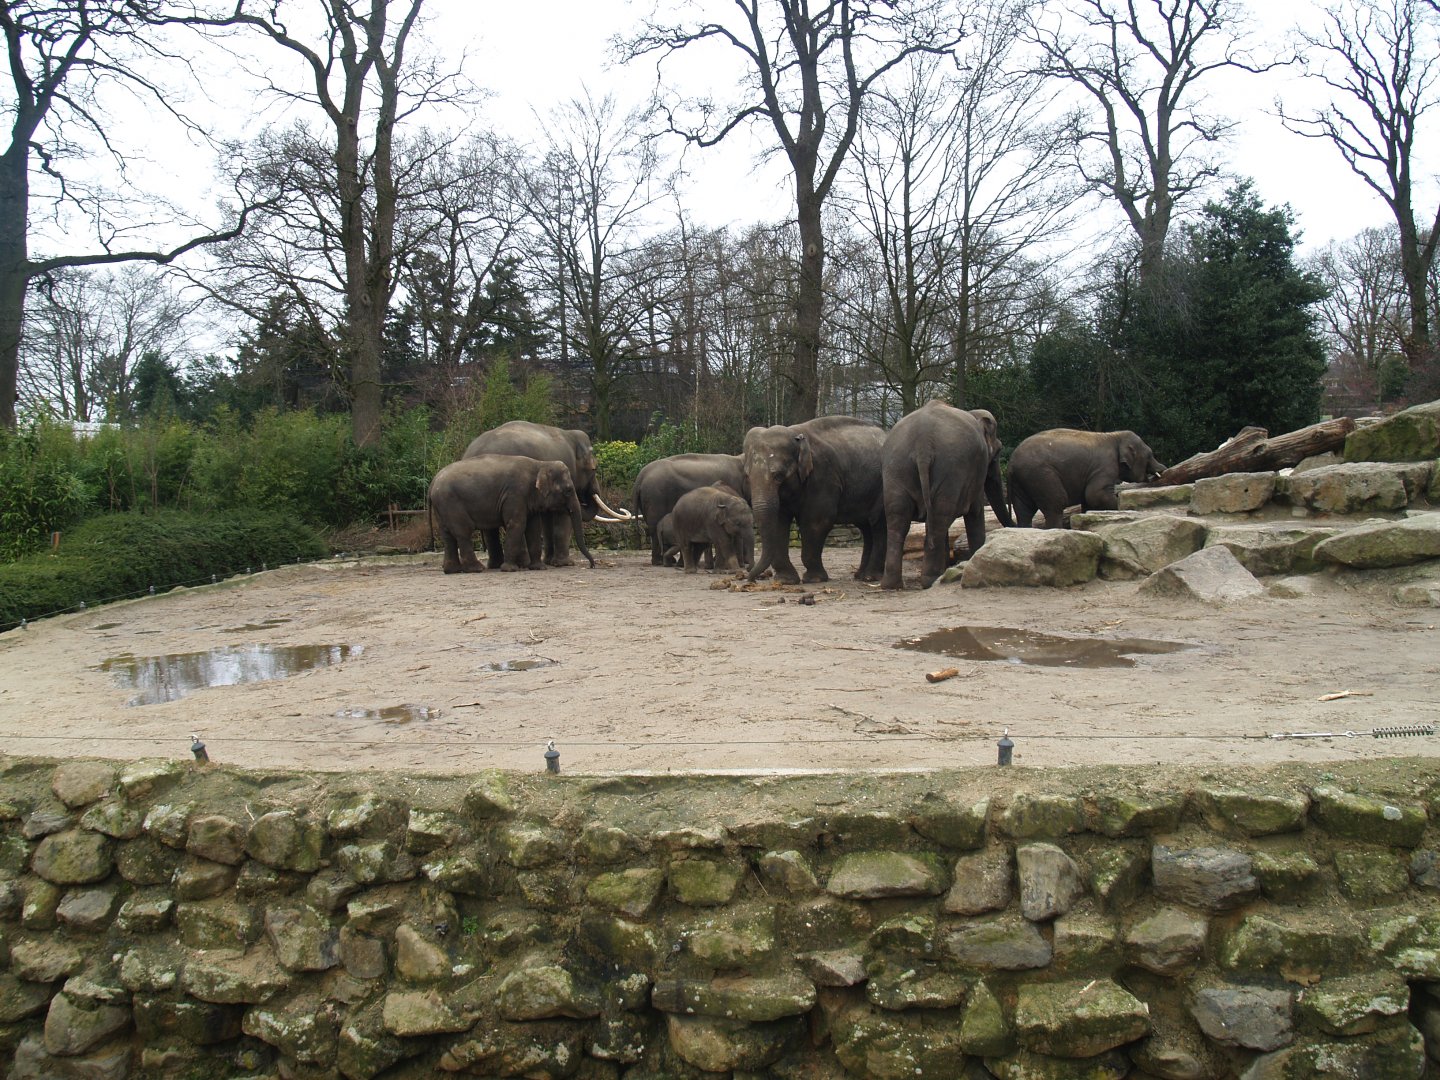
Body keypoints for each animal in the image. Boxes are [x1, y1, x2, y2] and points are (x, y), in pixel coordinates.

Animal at [429, 454, 595, 574]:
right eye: (568, 490)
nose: (592, 565)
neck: (540, 463)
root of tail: (433, 482)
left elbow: (534, 528)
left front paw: (539, 568)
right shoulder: (515, 494)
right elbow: (517, 524)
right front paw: (509, 569)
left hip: (442, 507)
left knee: (447, 536)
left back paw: (453, 571)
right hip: (451, 504)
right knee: (463, 532)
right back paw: (476, 569)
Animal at [463, 420, 630, 565]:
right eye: (593, 469)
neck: (571, 436)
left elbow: (547, 518)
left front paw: (550, 562)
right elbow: (562, 515)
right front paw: (564, 563)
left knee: (490, 528)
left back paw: (496, 565)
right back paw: (523, 563)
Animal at [742, 415, 887, 584]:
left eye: (779, 476)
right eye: (748, 477)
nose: (751, 579)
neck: (796, 434)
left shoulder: (823, 475)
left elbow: (816, 521)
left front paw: (814, 579)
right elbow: (778, 522)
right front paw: (786, 580)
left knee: (878, 524)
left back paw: (870, 576)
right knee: (866, 527)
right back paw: (860, 575)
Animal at [880, 402, 1013, 590]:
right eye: (999, 450)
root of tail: (923, 443)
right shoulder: (975, 471)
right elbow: (975, 511)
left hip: (896, 468)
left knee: (898, 519)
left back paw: (892, 584)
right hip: (951, 468)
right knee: (939, 519)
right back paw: (931, 581)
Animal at [1008, 428, 1166, 528]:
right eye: (1150, 455)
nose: (1162, 471)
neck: (1115, 436)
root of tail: (1011, 463)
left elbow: (1088, 501)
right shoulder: (1105, 466)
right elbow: (1095, 494)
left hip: (1022, 481)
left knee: (1024, 511)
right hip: (1040, 475)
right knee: (1056, 504)